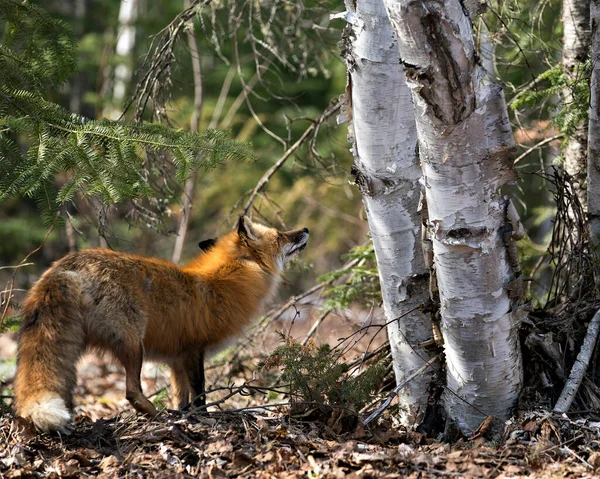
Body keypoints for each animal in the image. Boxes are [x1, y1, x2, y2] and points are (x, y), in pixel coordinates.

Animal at [14, 218, 310, 432]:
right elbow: (200, 396)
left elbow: (182, 399)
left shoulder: (177, 360)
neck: (226, 282)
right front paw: (202, 419)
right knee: (131, 391)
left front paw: (185, 416)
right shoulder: (194, 350)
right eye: (280, 235)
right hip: (134, 344)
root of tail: (65, 265)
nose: (306, 229)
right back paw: (158, 417)